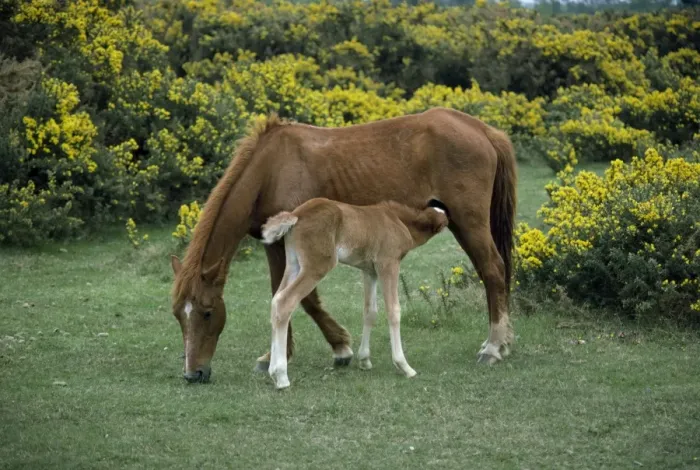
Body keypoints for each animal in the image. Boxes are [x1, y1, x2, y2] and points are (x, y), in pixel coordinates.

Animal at [260, 198, 449, 389]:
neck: (399, 220)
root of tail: (296, 215)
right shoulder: (388, 264)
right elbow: (393, 310)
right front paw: (404, 366)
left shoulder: (369, 271)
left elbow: (370, 311)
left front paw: (364, 360)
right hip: (317, 266)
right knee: (285, 302)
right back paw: (281, 376)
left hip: (294, 264)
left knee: (276, 300)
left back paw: (272, 370)